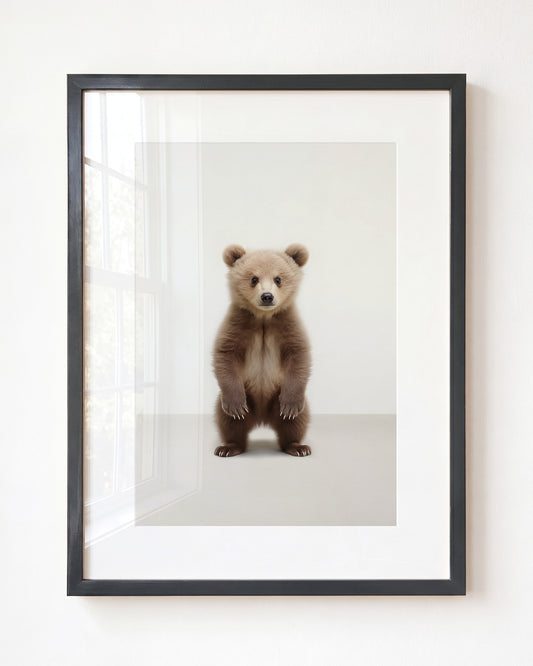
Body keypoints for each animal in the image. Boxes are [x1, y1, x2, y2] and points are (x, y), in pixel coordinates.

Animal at [213, 243, 311, 457]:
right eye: (254, 278)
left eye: (278, 279)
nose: (267, 296)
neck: (264, 317)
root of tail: (262, 419)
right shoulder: (238, 323)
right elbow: (225, 355)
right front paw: (235, 406)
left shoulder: (287, 323)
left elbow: (299, 355)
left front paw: (290, 406)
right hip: (246, 395)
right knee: (228, 421)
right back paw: (228, 447)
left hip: (277, 396)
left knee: (296, 421)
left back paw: (297, 446)